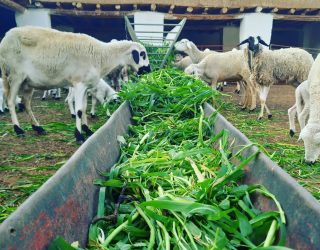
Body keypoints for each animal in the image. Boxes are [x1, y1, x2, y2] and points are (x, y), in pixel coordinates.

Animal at [0, 26, 151, 144]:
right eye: (142, 54)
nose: (148, 70)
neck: (102, 55)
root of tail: (5, 38)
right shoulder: (79, 84)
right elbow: (78, 110)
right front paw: (79, 135)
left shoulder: (85, 86)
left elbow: (83, 109)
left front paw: (87, 130)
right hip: (15, 76)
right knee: (11, 101)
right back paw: (18, 129)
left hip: (28, 82)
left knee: (26, 104)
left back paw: (38, 128)